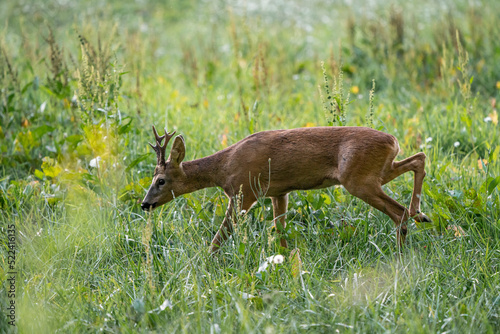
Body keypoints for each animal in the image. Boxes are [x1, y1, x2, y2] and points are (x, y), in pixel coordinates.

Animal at [141, 126, 430, 252]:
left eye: (160, 180)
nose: (144, 204)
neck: (224, 168)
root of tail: (392, 140)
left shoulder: (244, 192)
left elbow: (221, 234)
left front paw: (205, 261)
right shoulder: (279, 193)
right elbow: (279, 229)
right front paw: (285, 259)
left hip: (358, 179)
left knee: (398, 211)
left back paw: (401, 251)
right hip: (379, 171)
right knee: (419, 158)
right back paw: (421, 213)